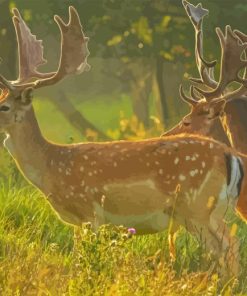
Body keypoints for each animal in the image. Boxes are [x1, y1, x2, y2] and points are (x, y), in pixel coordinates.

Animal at [0, 5, 246, 278]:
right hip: (210, 211)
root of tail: (231, 156)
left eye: (4, 106)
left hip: (198, 207)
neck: (51, 166)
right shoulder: (77, 222)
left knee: (229, 246)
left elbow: (85, 260)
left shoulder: (90, 211)